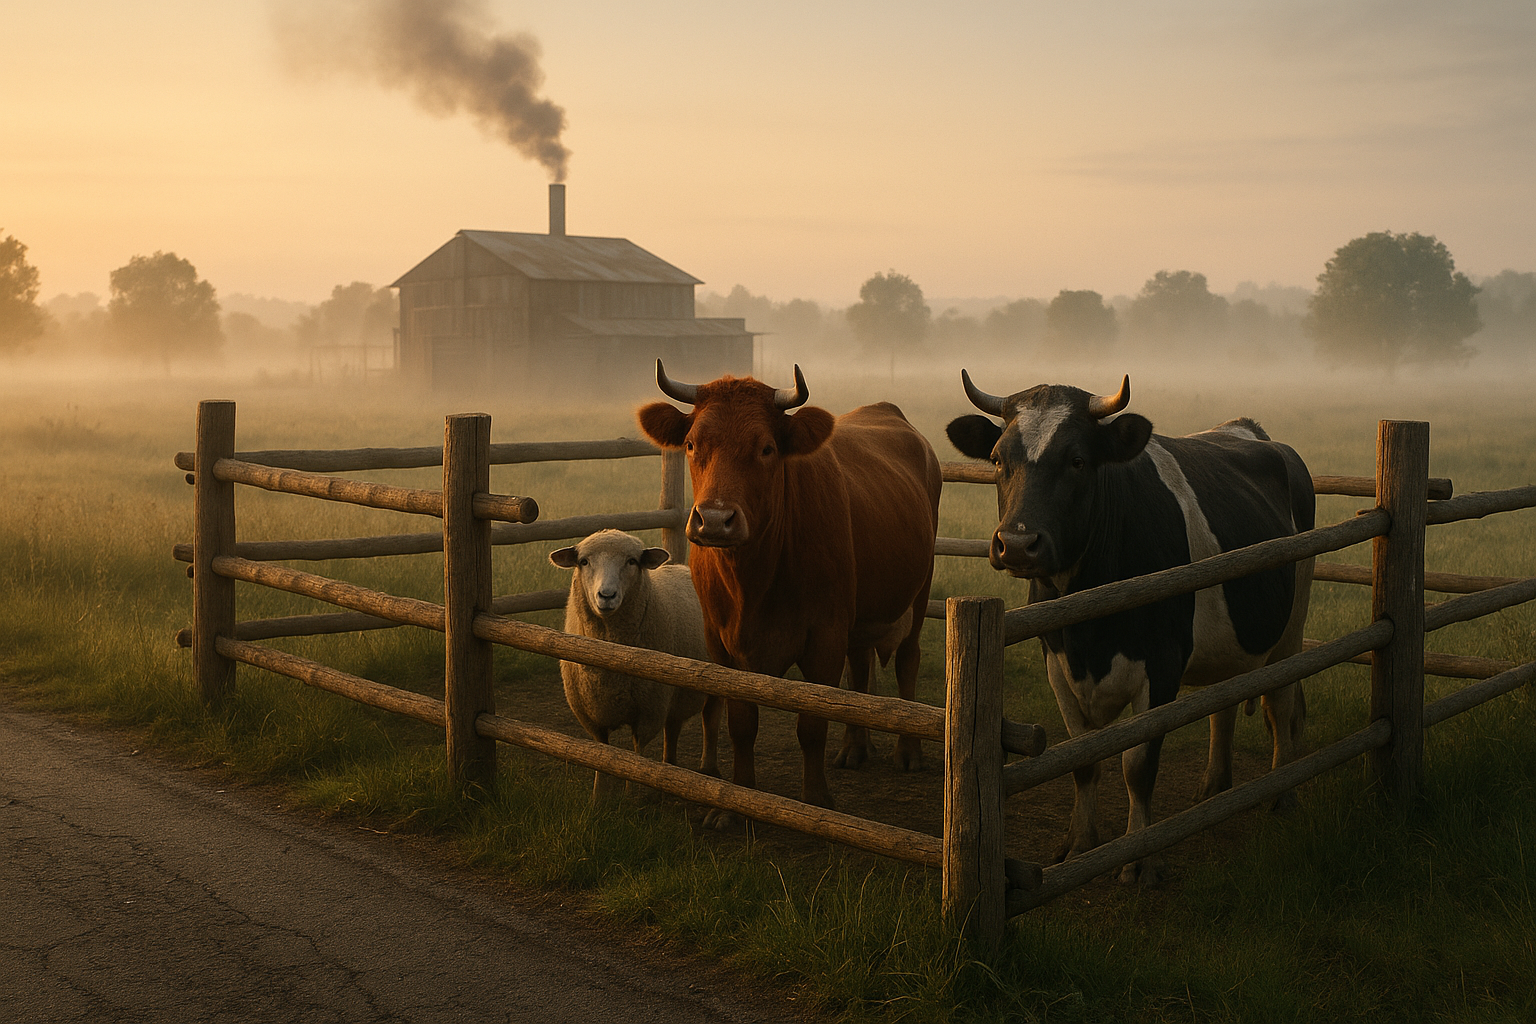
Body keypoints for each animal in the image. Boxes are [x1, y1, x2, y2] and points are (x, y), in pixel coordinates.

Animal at [549, 530, 721, 800]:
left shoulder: (649, 711)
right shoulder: (590, 714)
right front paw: (599, 796)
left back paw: (708, 767)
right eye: (584, 562)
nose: (606, 596)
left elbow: (637, 754)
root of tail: (684, 568)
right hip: (673, 693)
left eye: (632, 561)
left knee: (710, 719)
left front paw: (632, 795)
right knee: (673, 727)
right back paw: (668, 767)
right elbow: (601, 752)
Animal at [638, 361, 943, 822]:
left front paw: (815, 799)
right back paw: (855, 747)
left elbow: (813, 721)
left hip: (919, 590)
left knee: (907, 658)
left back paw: (908, 751)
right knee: (859, 667)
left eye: (766, 448)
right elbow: (741, 723)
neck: (754, 580)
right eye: (691, 444)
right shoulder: (720, 643)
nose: (715, 520)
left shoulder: (825, 636)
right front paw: (737, 801)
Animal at [946, 371, 1313, 884]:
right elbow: (1082, 761)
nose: (1017, 544)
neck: (1089, 630)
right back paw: (1214, 788)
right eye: (999, 459)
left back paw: (1282, 797)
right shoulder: (1056, 661)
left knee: (1280, 705)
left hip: (1291, 626)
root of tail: (1250, 430)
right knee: (1223, 701)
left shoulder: (1161, 666)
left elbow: (1138, 765)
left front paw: (1140, 858)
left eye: (1078, 460)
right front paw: (1079, 843)